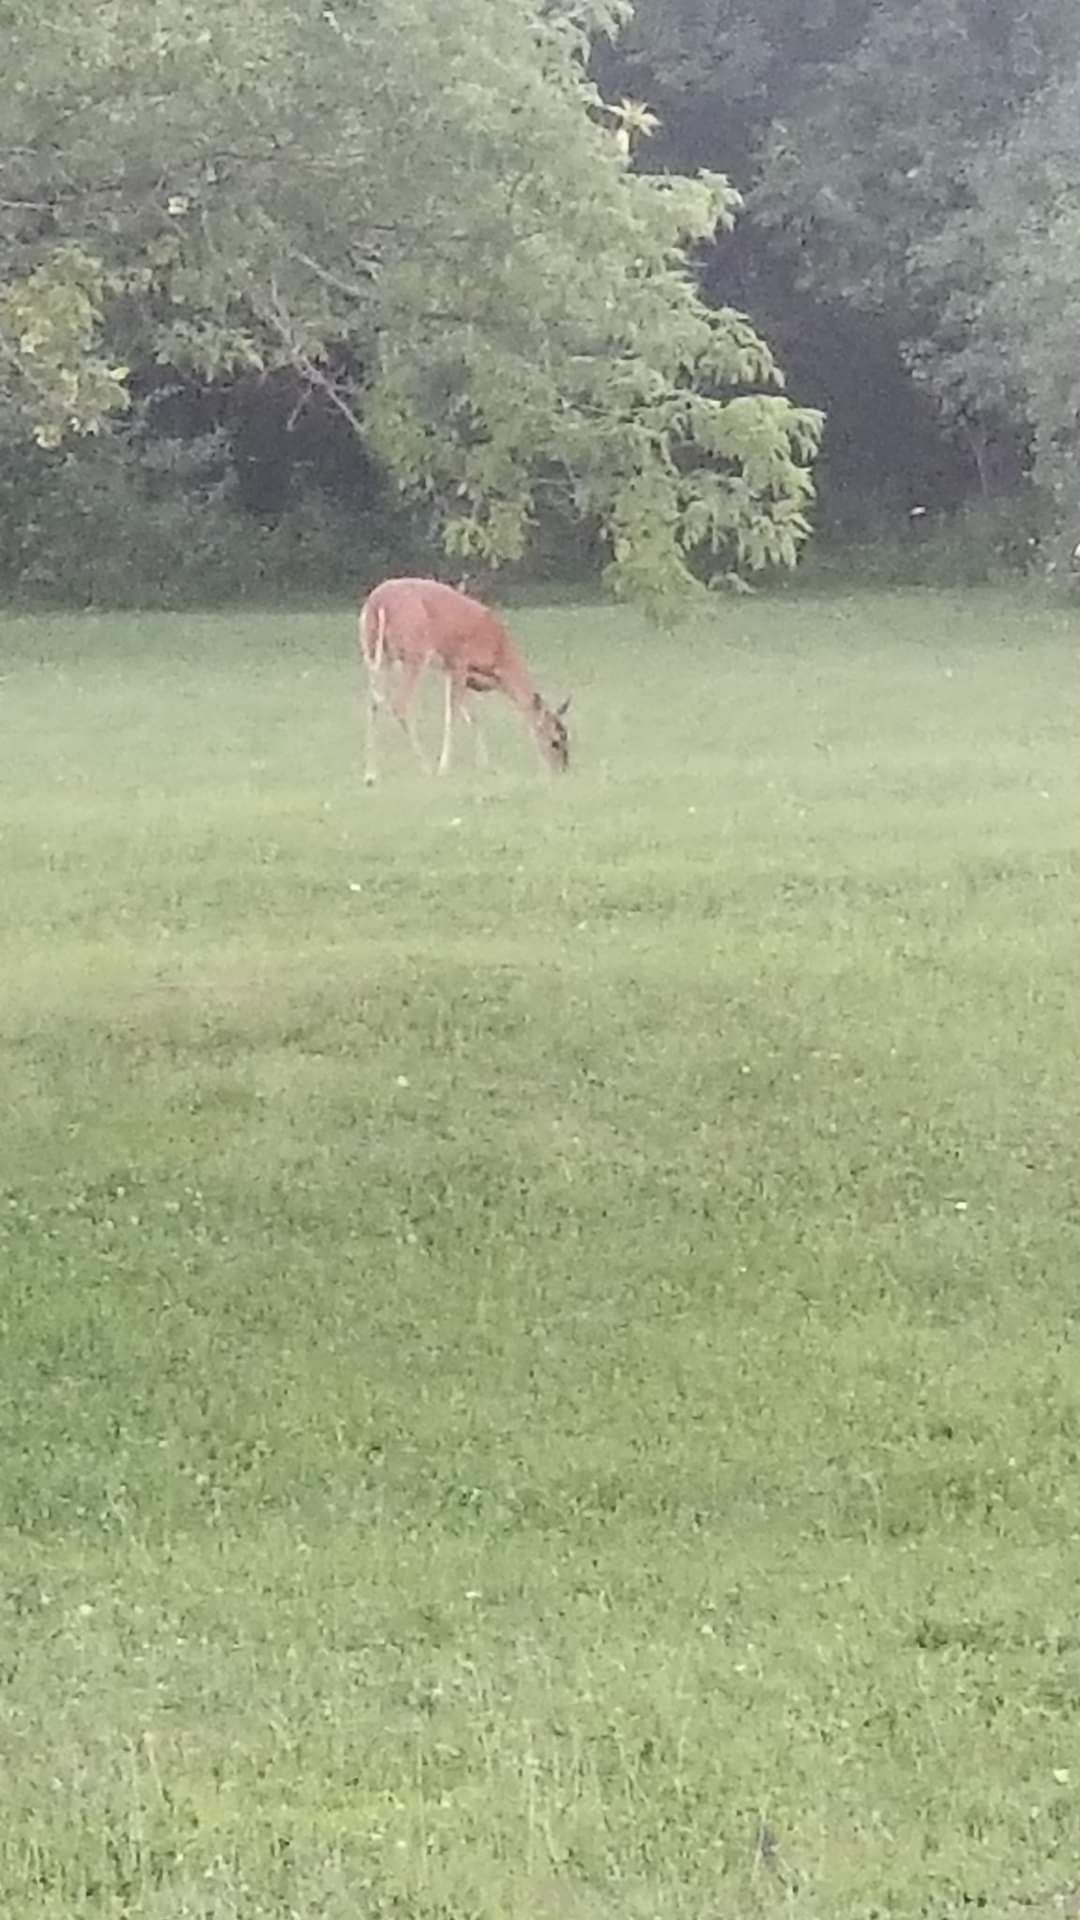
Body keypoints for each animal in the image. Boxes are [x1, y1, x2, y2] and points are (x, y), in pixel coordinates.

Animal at [357, 576, 570, 785]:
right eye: (556, 741)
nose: (562, 769)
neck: (498, 655)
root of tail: (379, 603)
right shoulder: (458, 661)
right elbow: (453, 716)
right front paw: (444, 768)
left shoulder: (457, 673)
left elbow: (472, 715)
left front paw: (485, 764)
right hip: (414, 652)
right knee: (399, 703)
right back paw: (426, 768)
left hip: (374, 652)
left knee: (373, 702)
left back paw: (370, 774)